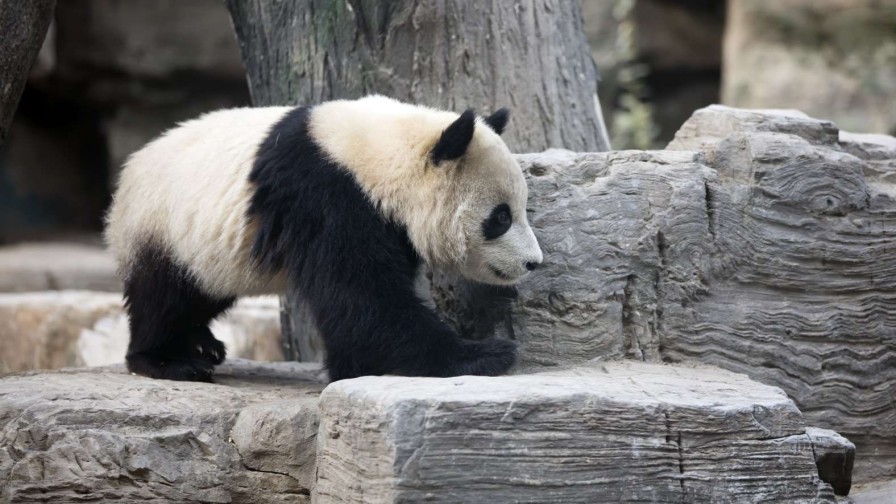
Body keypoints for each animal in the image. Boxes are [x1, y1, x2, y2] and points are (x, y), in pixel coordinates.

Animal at [105, 95, 540, 382]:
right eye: (500, 217)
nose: (533, 263)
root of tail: (127, 172)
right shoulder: (325, 196)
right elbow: (361, 297)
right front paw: (485, 353)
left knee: (199, 295)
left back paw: (201, 343)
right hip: (162, 225)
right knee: (163, 296)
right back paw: (166, 361)